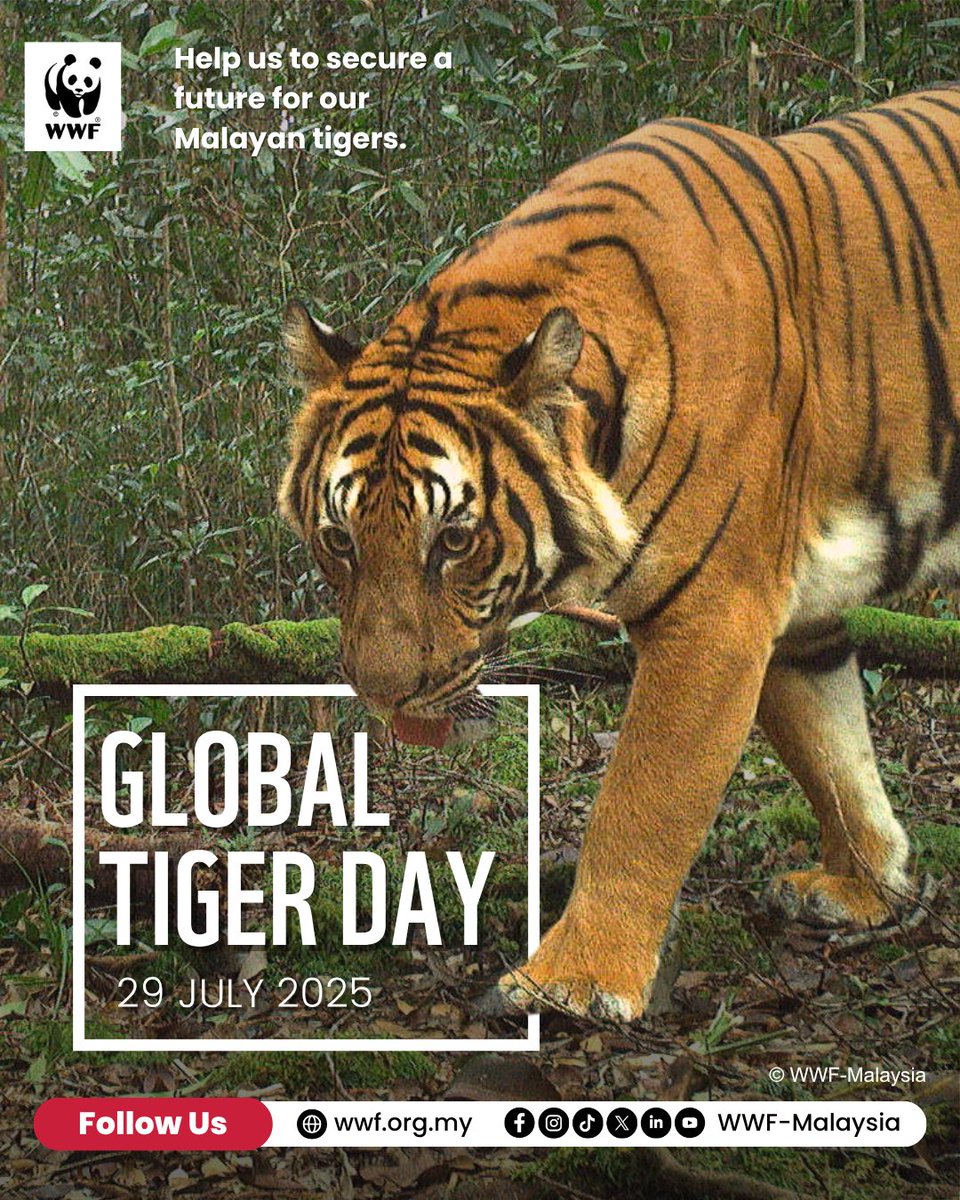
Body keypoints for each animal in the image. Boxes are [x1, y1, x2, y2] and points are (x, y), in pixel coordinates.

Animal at [278, 86, 960, 1022]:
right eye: (339, 540)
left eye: (453, 540)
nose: (384, 694)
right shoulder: (795, 609)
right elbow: (833, 749)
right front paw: (868, 886)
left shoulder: (716, 613)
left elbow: (642, 801)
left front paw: (574, 979)